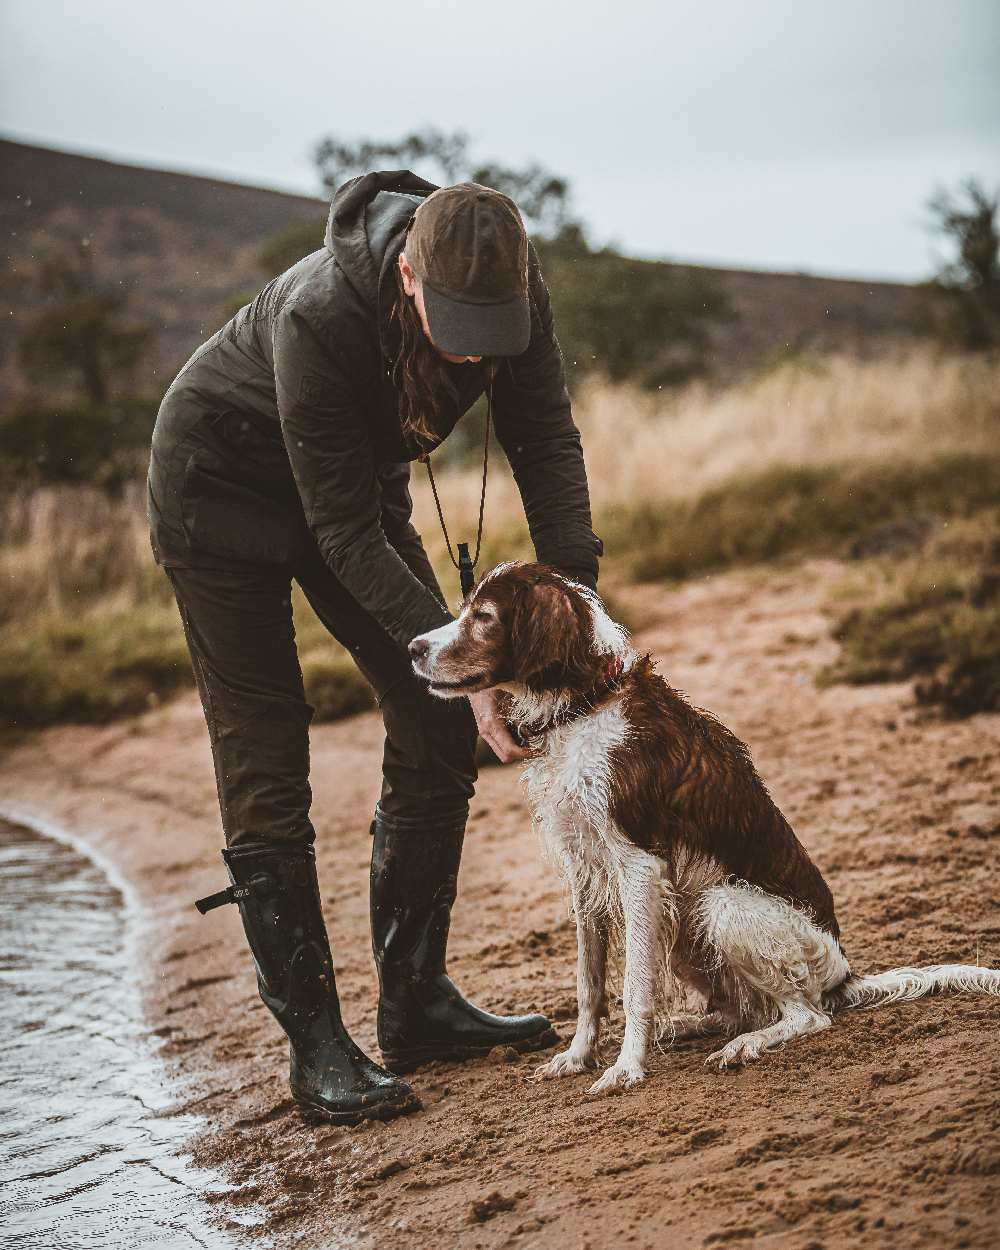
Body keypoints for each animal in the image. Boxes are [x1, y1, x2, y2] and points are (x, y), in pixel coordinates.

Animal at [407, 560, 1000, 1095]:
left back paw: (744, 1045)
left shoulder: (639, 867)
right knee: (748, 1008)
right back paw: (695, 1025)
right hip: (687, 929)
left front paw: (626, 1067)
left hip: (721, 906)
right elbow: (588, 983)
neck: (584, 705)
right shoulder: (584, 871)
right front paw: (577, 1057)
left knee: (807, 1015)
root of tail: (844, 974)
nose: (413, 648)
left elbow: (634, 986)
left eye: (483, 617)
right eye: (465, 609)